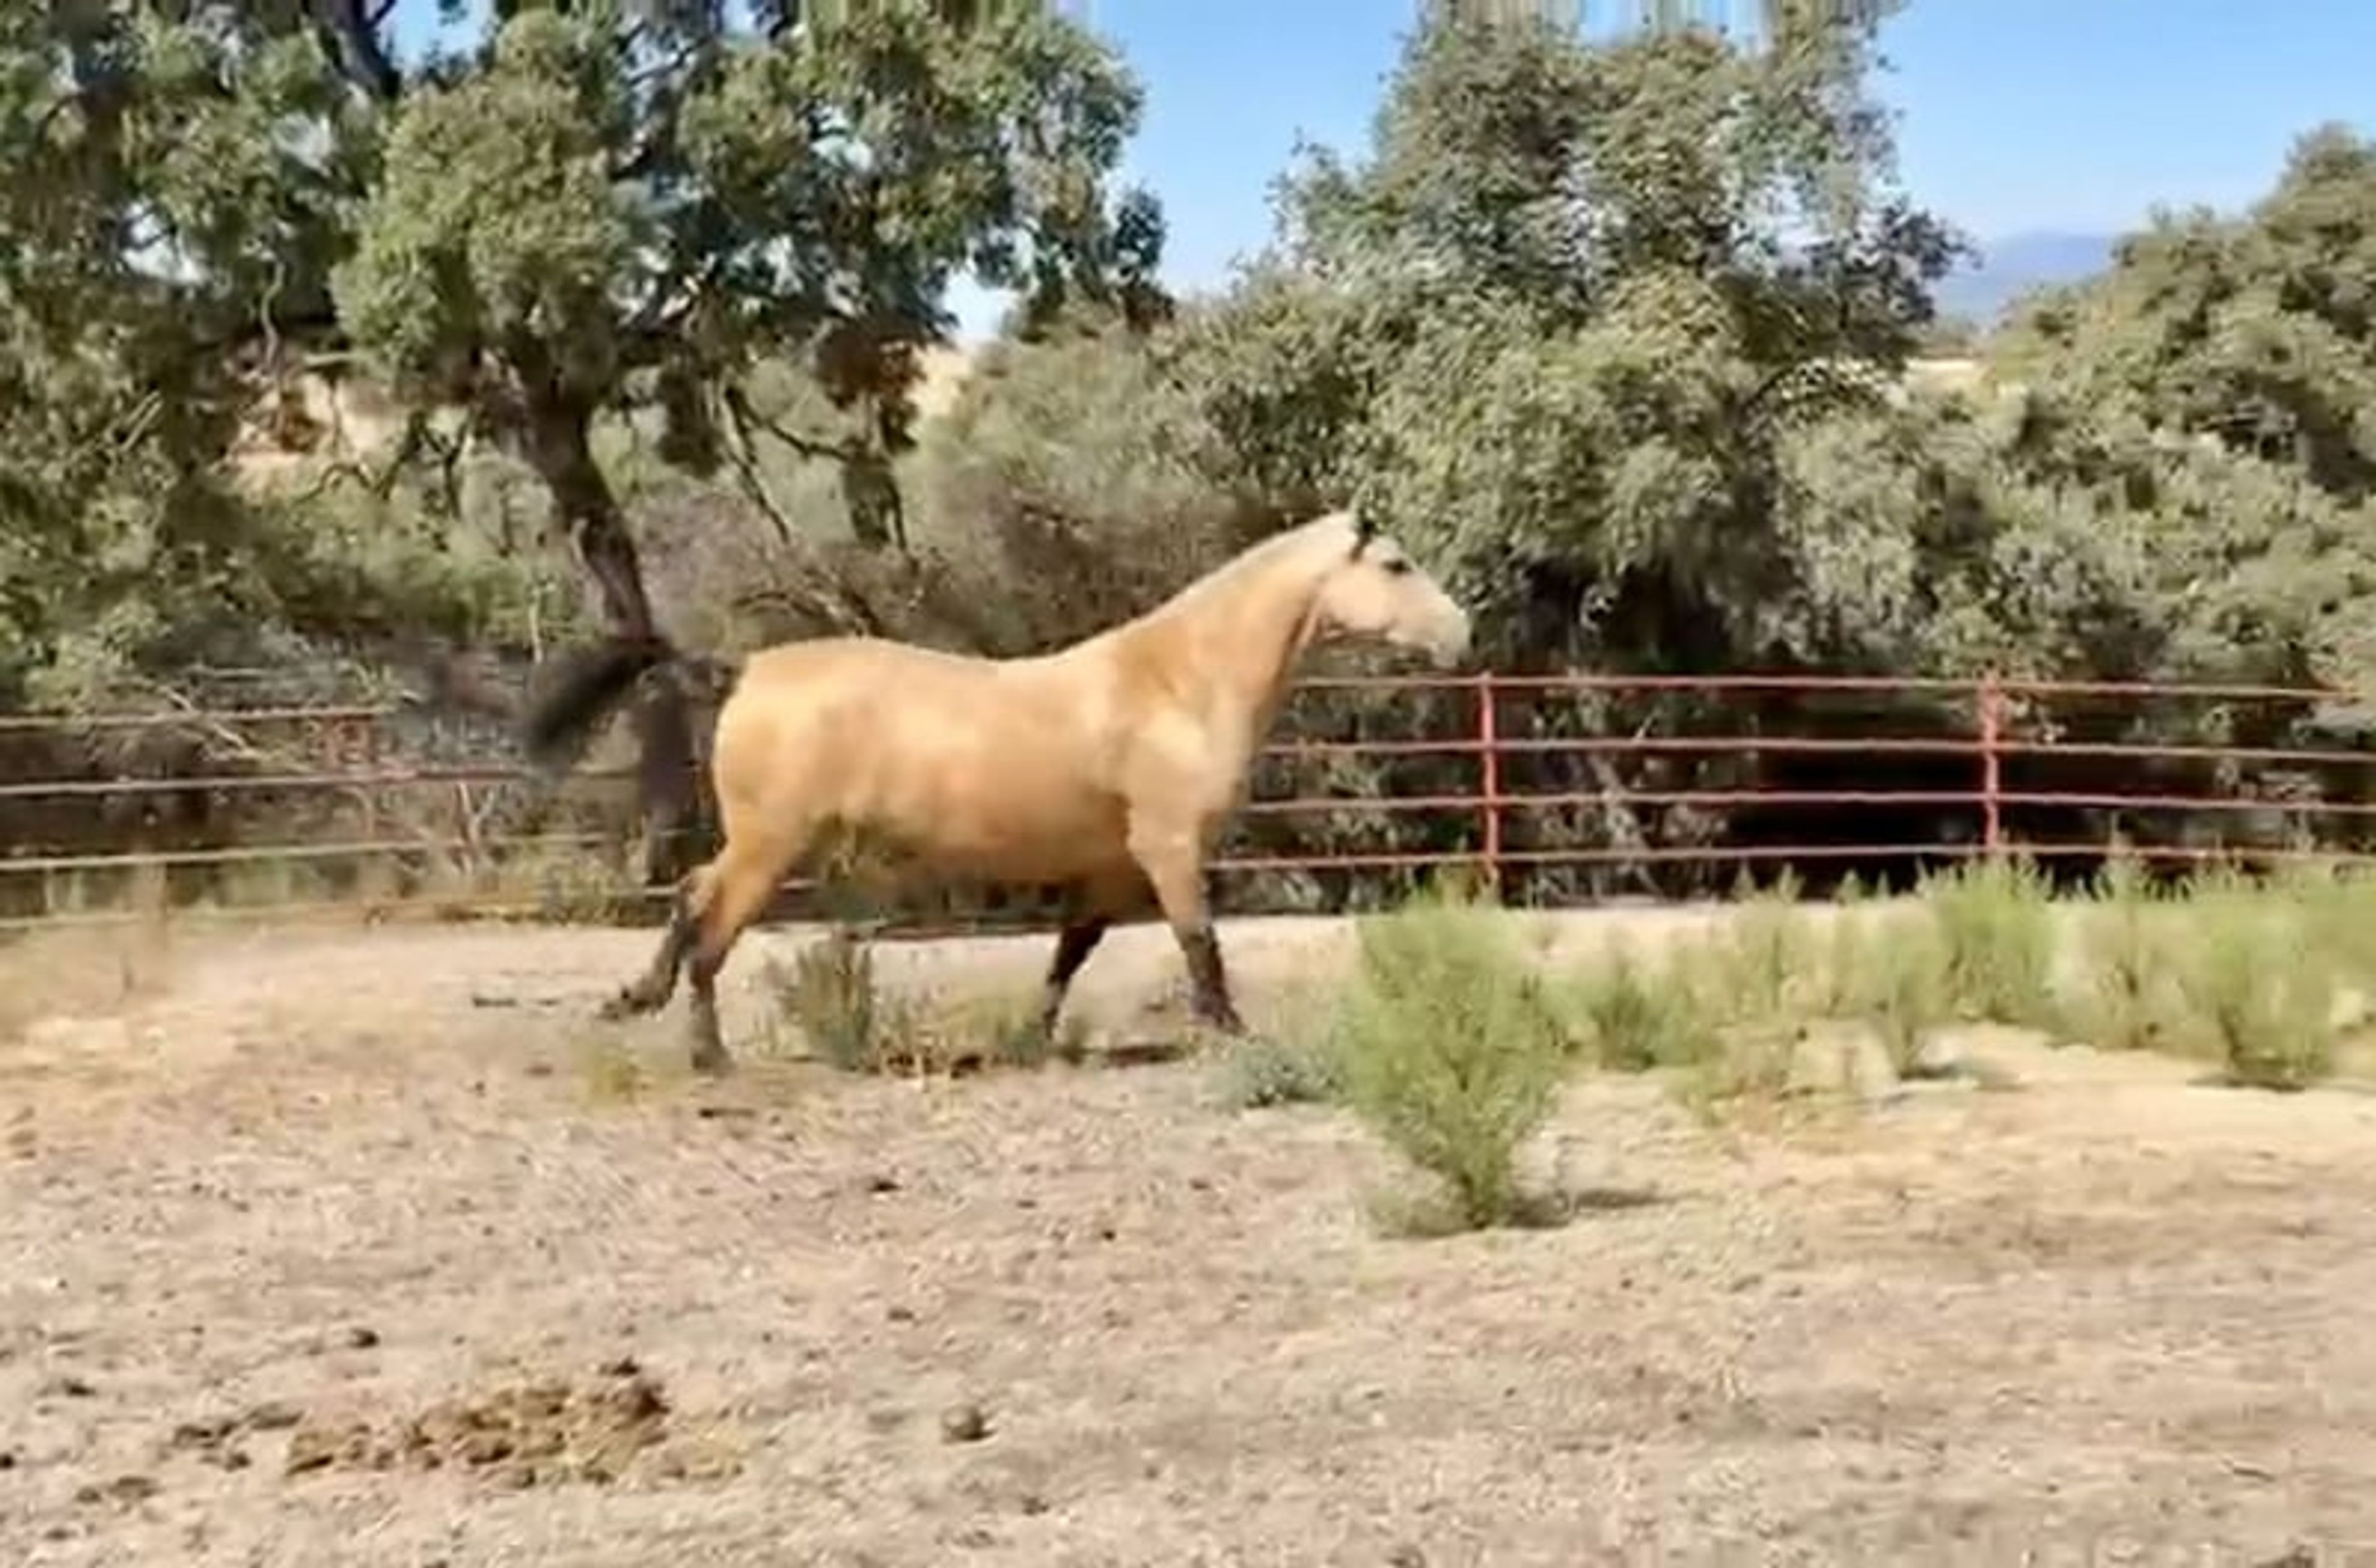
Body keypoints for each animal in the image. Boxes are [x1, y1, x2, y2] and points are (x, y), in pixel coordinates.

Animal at [518, 507, 1474, 1073]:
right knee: (711, 927)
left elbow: (1069, 954)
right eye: (1396, 564)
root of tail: (745, 667)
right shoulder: (1171, 848)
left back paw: (637, 1000)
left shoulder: (1111, 866)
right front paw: (1233, 1035)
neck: (1177, 683)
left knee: (688, 897)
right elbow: (1201, 942)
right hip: (771, 845)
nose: (1462, 633)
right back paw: (707, 1052)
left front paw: (1032, 1039)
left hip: (765, 841)